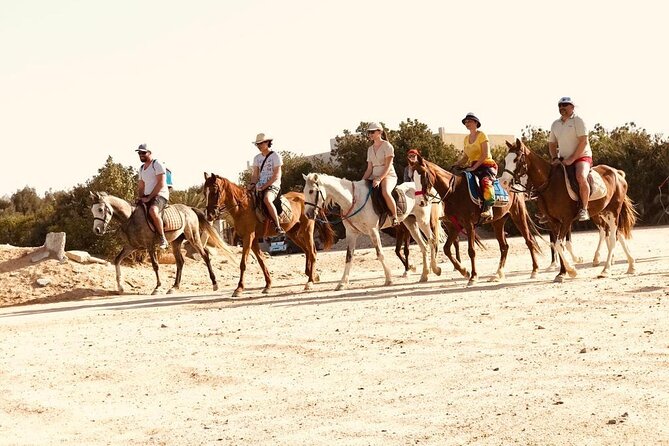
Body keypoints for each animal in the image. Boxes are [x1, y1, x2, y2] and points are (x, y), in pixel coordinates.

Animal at [91, 191, 232, 292]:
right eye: (93, 210)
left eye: (100, 209)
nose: (96, 230)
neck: (130, 218)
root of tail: (189, 209)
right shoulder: (130, 247)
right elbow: (117, 260)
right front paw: (120, 287)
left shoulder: (150, 246)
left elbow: (155, 265)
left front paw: (157, 287)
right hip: (176, 242)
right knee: (180, 262)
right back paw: (175, 287)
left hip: (193, 237)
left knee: (205, 255)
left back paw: (214, 284)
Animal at [200, 172, 332, 298]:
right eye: (204, 192)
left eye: (215, 190)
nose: (210, 215)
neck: (242, 208)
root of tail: (304, 198)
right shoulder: (252, 240)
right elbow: (261, 260)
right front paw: (268, 285)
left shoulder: (248, 237)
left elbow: (243, 263)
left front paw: (239, 288)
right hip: (293, 233)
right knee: (307, 251)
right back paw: (312, 274)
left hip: (307, 230)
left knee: (312, 252)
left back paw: (310, 281)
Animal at [300, 171, 440, 290]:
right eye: (305, 191)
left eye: (312, 191)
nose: (307, 214)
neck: (353, 200)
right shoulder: (351, 234)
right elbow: (349, 257)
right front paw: (342, 283)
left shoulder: (373, 231)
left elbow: (380, 254)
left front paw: (388, 279)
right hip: (411, 223)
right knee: (423, 246)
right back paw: (424, 275)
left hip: (423, 221)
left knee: (432, 240)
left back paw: (435, 269)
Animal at [410, 154, 540, 286]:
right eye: (412, 177)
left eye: (423, 174)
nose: (420, 202)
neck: (454, 191)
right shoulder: (455, 226)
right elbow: (446, 249)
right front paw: (464, 271)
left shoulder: (469, 225)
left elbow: (471, 251)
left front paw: (473, 277)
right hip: (498, 222)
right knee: (504, 247)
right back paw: (498, 274)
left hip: (518, 215)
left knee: (529, 241)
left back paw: (534, 271)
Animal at [498, 139, 636, 282]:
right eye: (505, 160)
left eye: (516, 160)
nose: (503, 182)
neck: (550, 184)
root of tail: (617, 173)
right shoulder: (553, 222)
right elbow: (558, 245)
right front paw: (562, 273)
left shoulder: (566, 220)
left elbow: (560, 244)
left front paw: (571, 270)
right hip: (604, 212)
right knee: (617, 234)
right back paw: (630, 265)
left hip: (613, 212)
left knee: (613, 237)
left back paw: (606, 269)